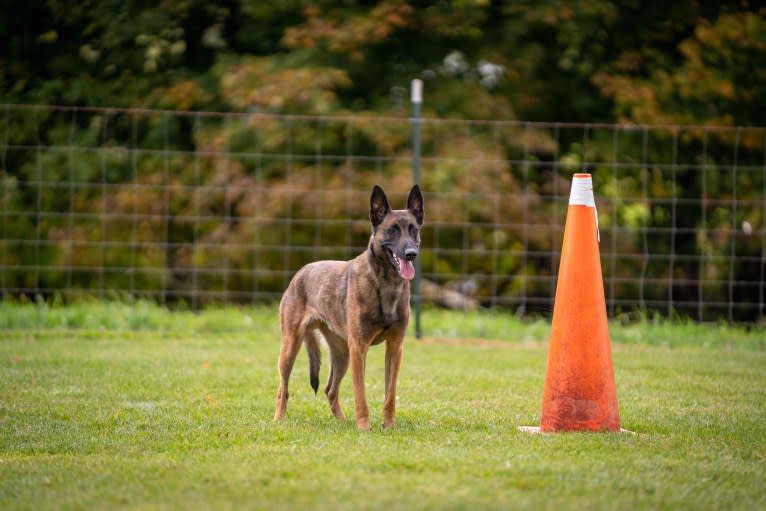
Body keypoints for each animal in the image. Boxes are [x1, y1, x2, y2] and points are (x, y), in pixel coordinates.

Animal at [274, 186, 426, 430]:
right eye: (392, 231)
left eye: (413, 230)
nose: (411, 253)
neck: (385, 283)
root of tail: (300, 272)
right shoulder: (359, 348)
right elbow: (360, 394)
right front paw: (364, 428)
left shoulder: (395, 348)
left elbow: (390, 395)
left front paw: (389, 426)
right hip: (291, 347)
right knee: (283, 389)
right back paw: (279, 420)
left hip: (342, 354)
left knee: (330, 390)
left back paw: (343, 422)